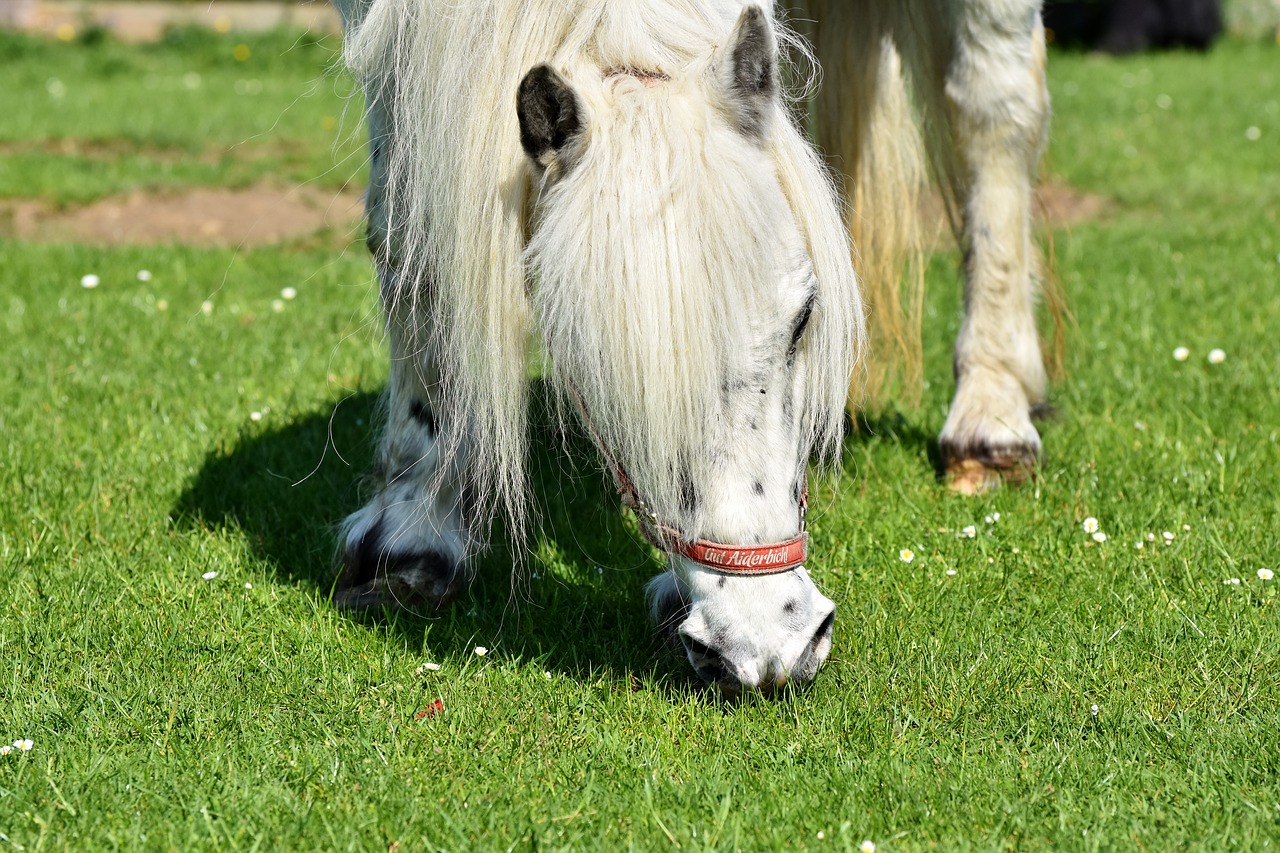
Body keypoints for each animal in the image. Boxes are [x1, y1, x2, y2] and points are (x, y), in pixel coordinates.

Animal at [330, 0, 1049, 696]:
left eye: (803, 319)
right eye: (595, 363)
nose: (773, 646)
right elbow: (408, 240)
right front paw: (413, 529)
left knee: (995, 111)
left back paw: (992, 417)